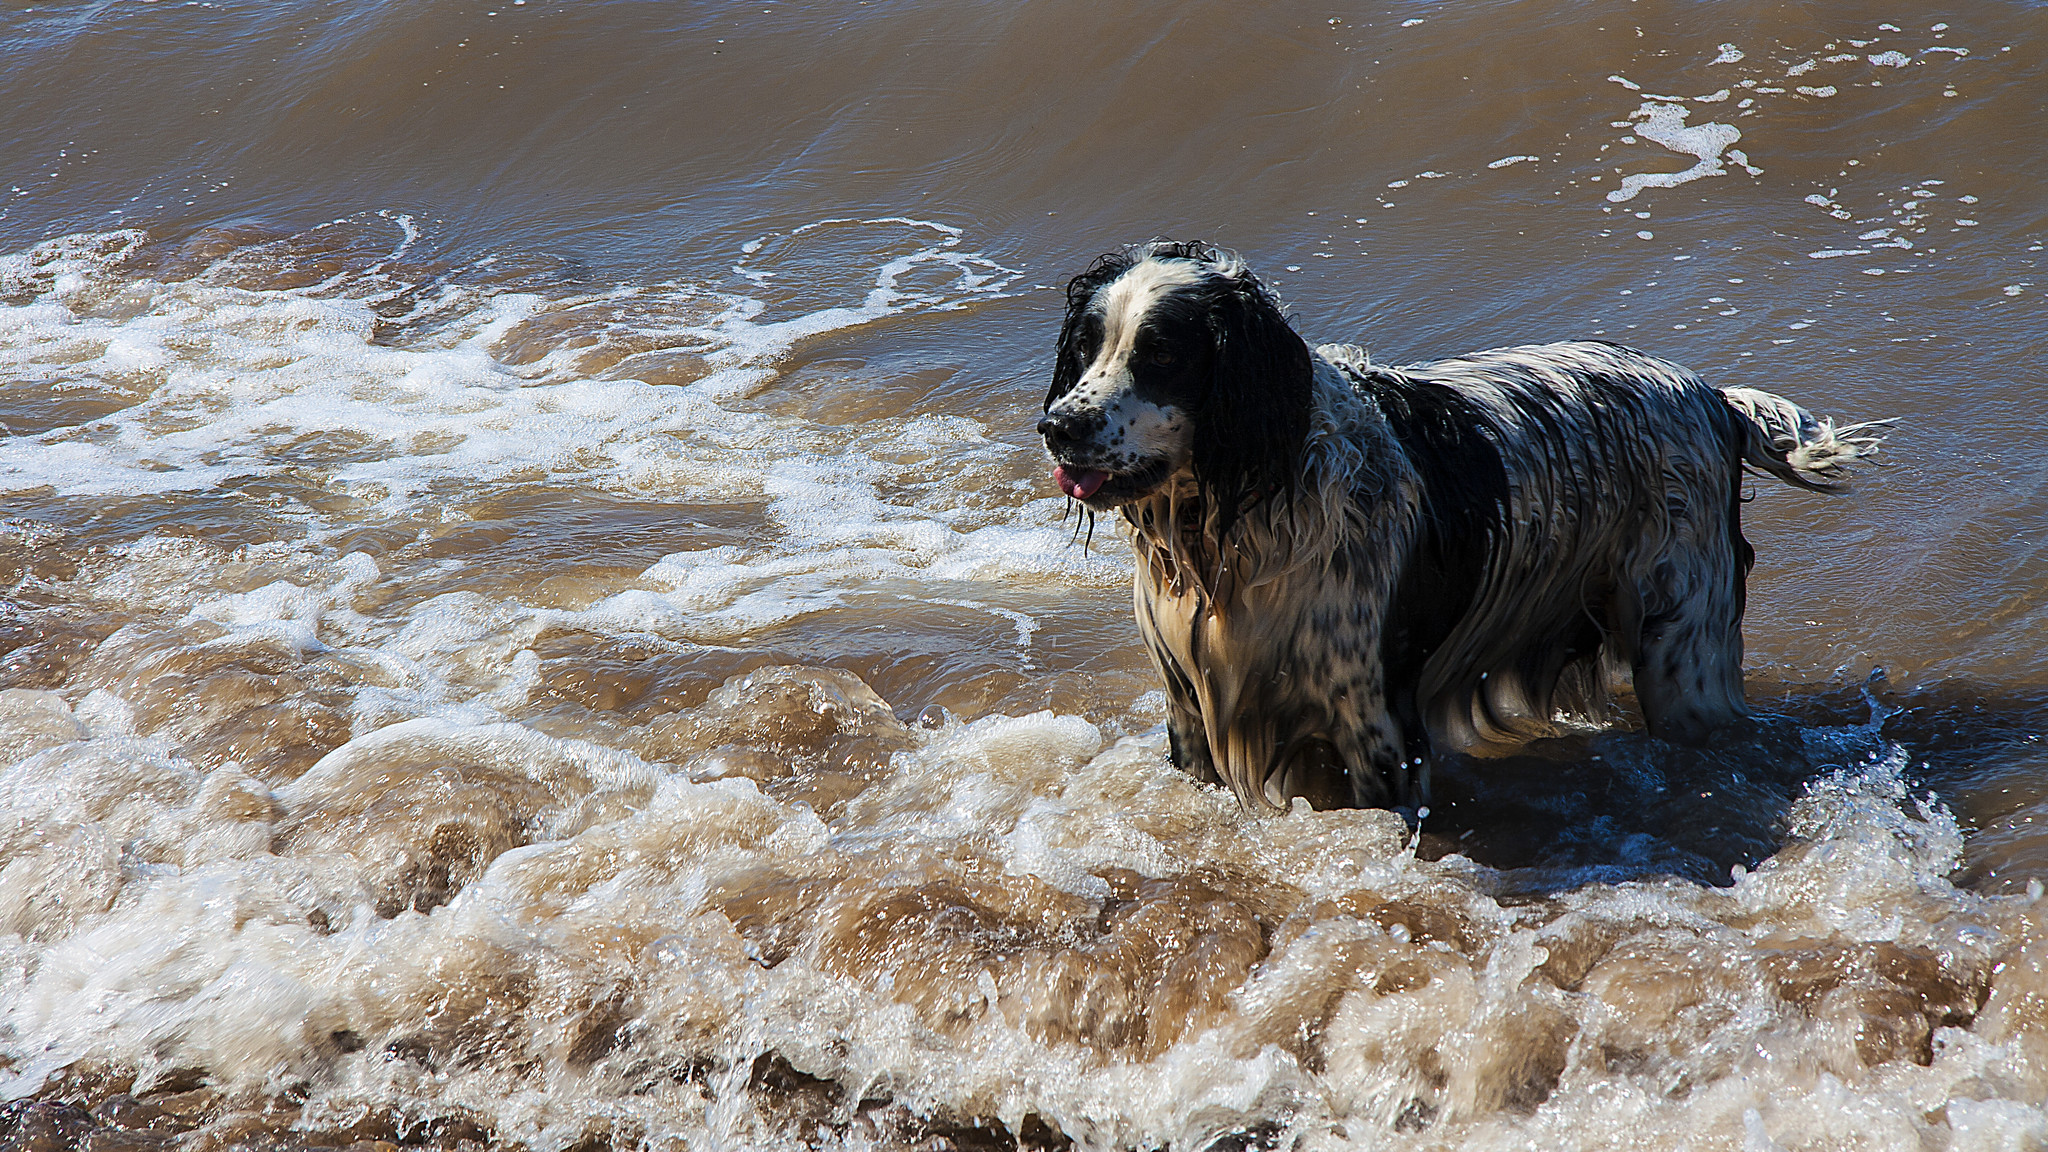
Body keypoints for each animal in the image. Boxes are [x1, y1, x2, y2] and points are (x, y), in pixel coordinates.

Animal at [1040, 235, 1884, 807]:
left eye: (1163, 355)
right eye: (1084, 348)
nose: (1057, 426)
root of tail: (1714, 397)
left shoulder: (1375, 724)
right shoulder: (1191, 712)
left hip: (1686, 660)